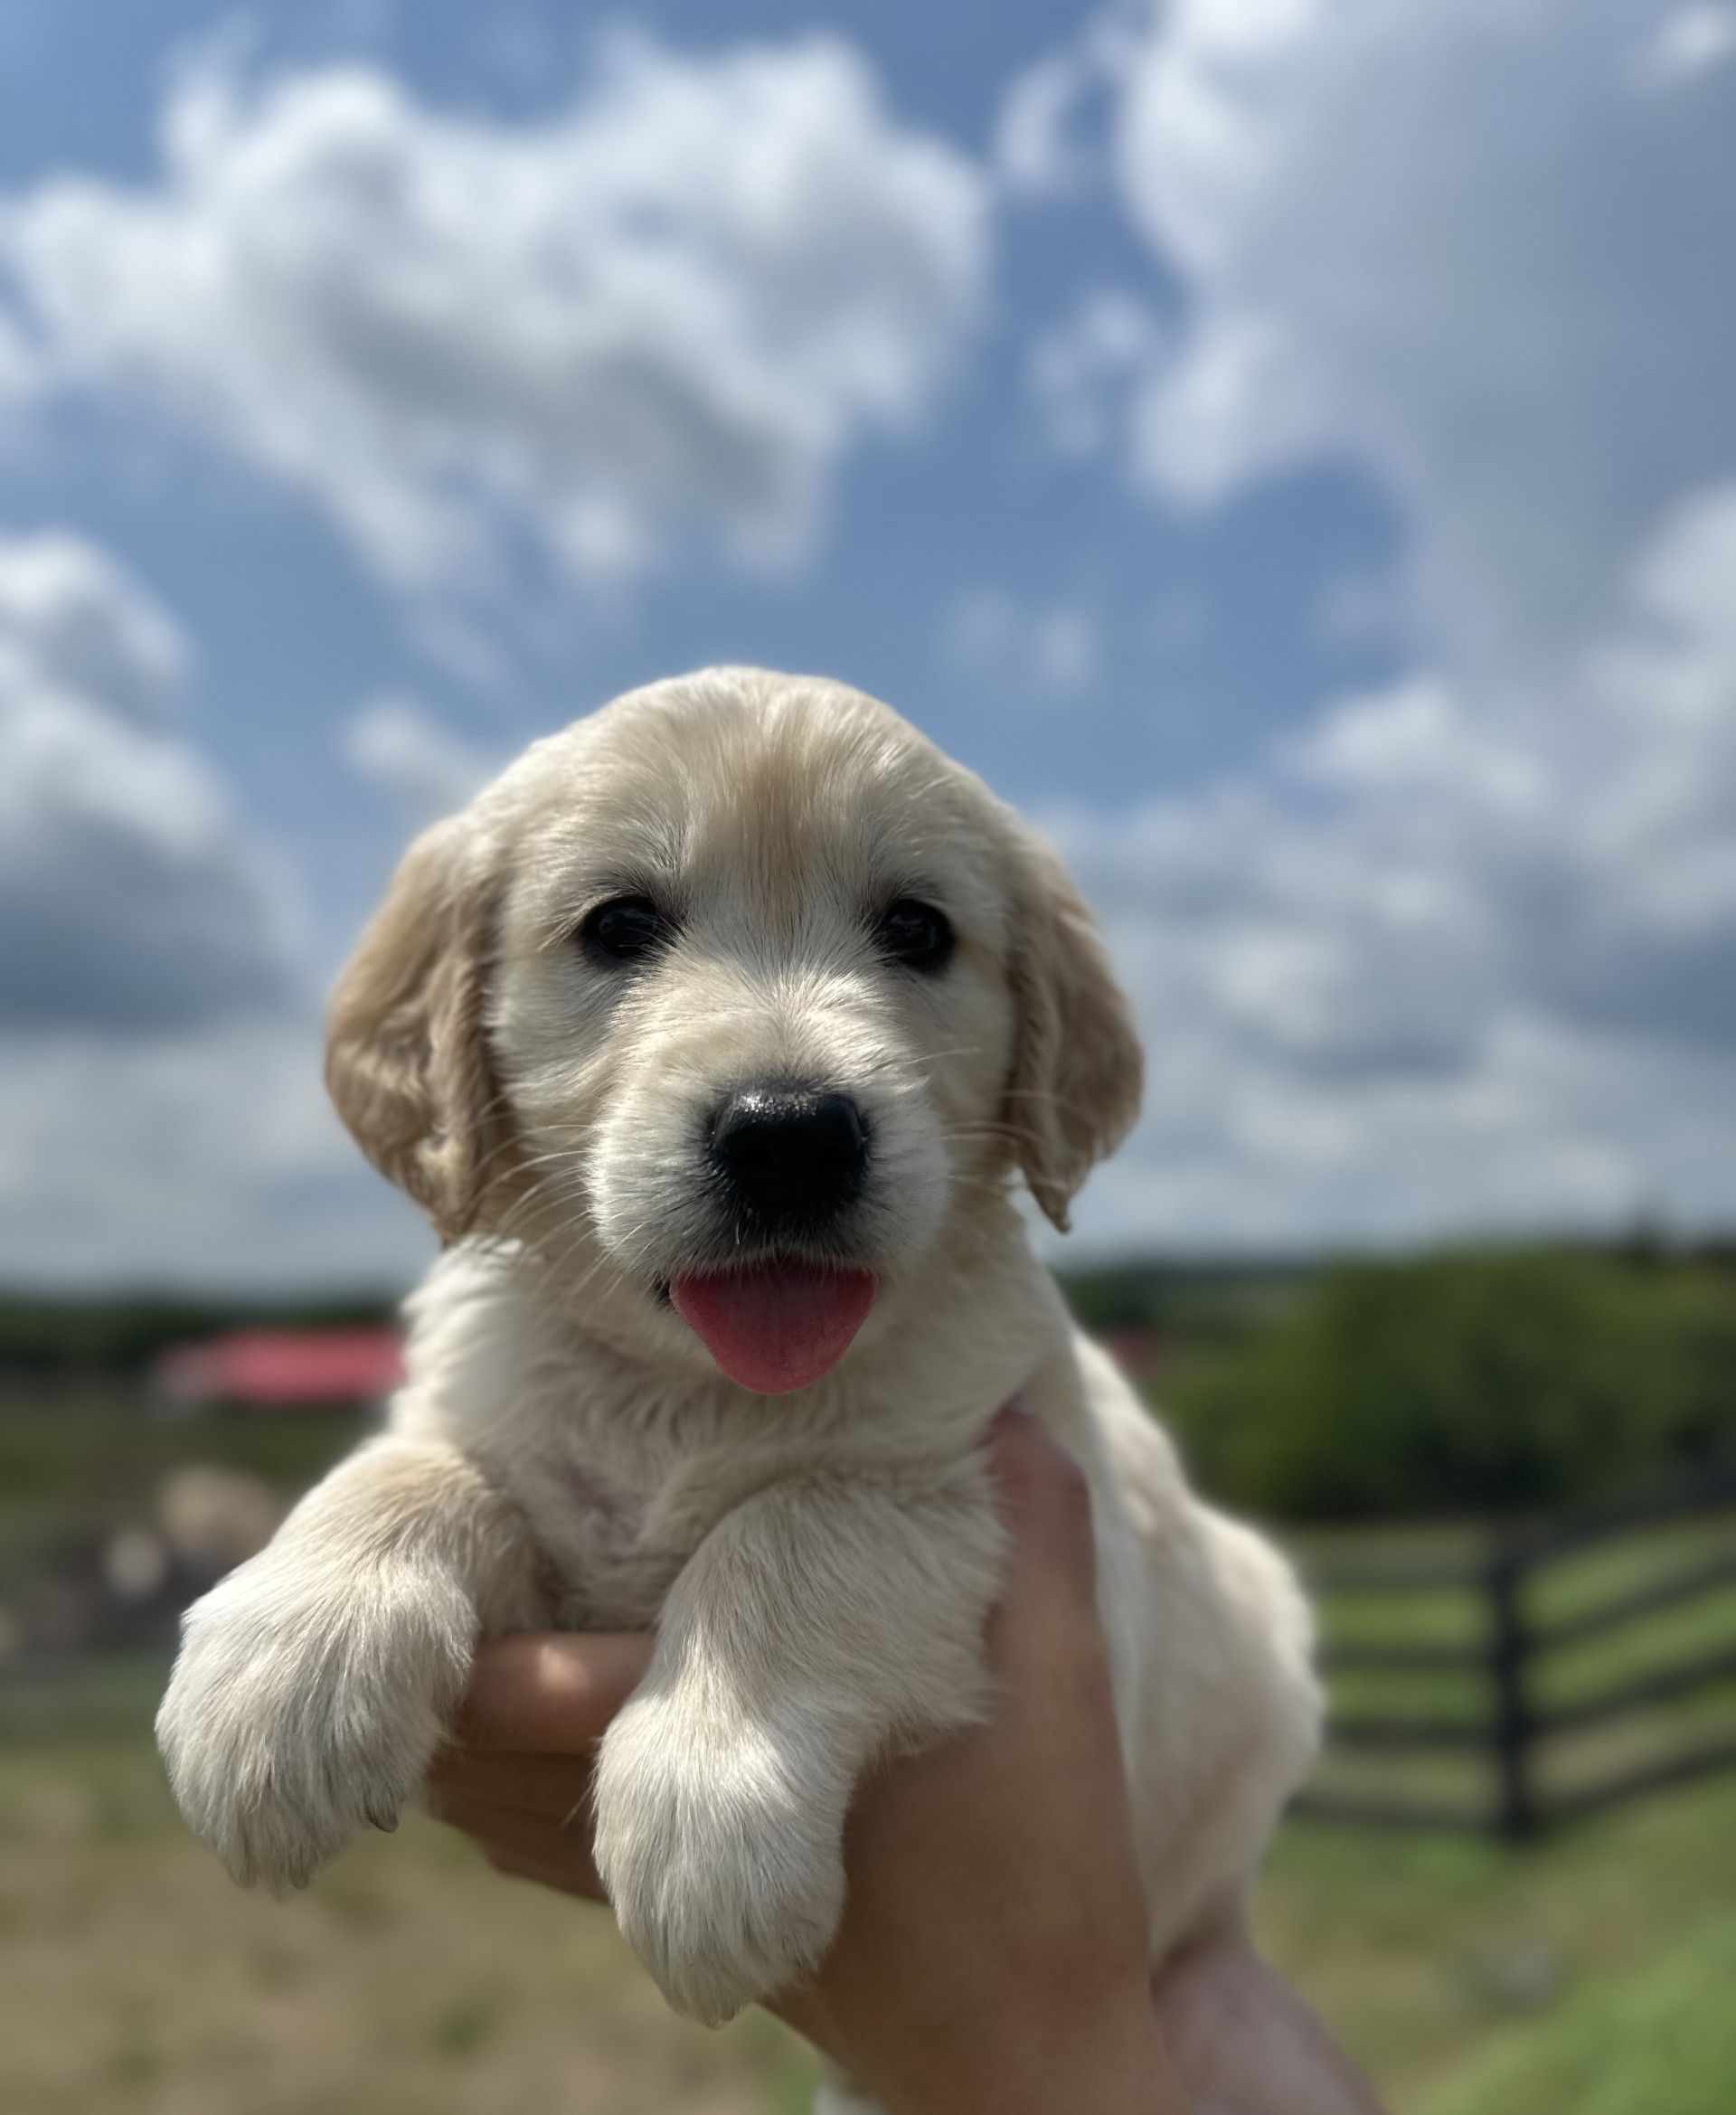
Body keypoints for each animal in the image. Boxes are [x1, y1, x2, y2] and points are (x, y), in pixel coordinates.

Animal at [159, 672, 1310, 2081]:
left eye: (917, 928)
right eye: (619, 924)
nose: (790, 1133)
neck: (691, 1389)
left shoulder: (980, 1482)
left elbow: (800, 1521)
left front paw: (708, 1804)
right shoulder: (521, 1460)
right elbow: (410, 1467)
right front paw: (283, 1661)